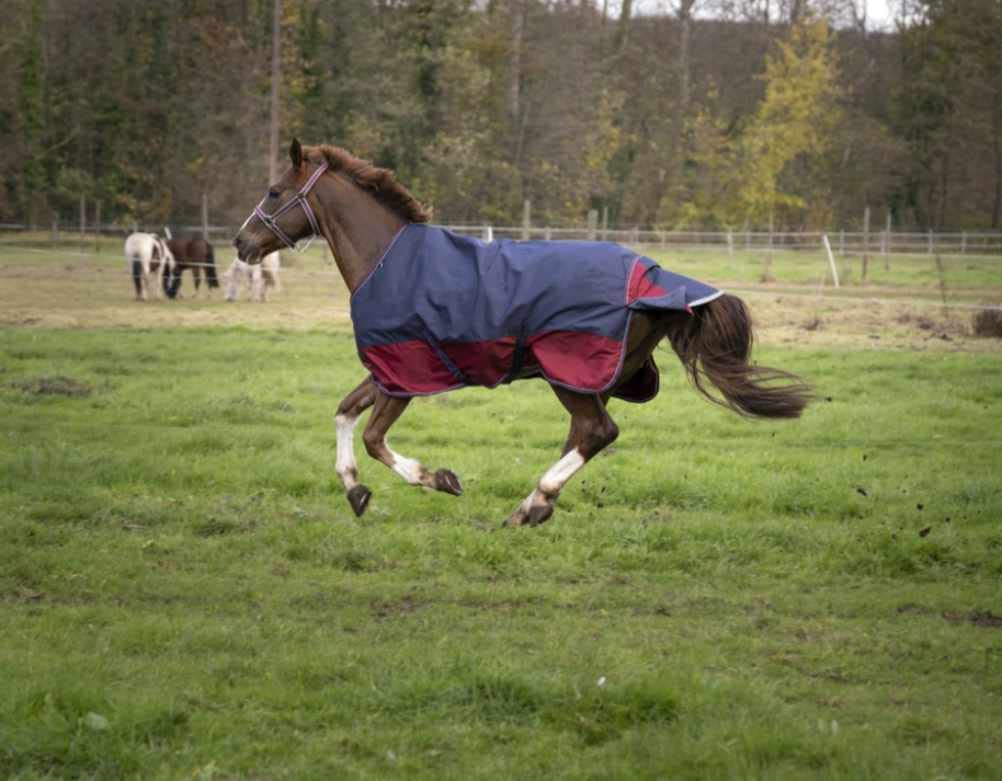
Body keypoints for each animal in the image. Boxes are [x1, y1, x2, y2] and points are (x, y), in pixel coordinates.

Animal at [234, 139, 812, 527]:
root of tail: (657, 280)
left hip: (569, 373)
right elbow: (343, 413)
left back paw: (532, 503)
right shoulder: (385, 370)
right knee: (585, 434)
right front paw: (355, 492)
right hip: (591, 379)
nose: (242, 242)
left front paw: (440, 479)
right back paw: (538, 504)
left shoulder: (405, 371)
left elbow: (375, 438)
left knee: (598, 432)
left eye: (275, 191)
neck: (386, 259)